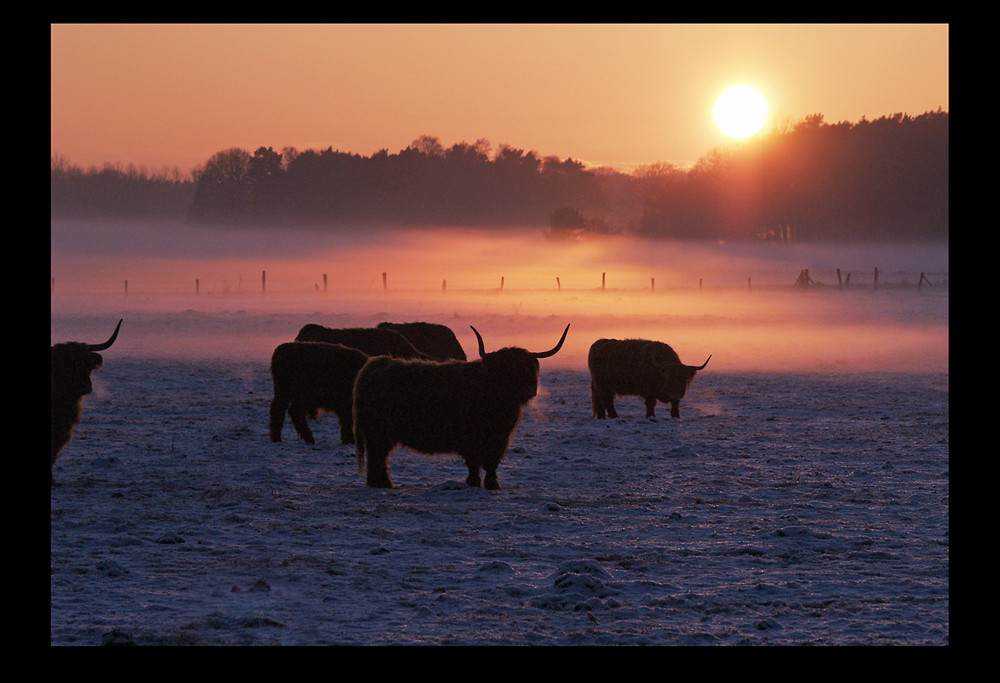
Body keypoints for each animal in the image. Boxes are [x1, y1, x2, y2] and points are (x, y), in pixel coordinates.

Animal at [352, 324, 572, 488]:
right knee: (378, 455)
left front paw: (493, 485)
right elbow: (473, 461)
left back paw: (379, 483)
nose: (529, 390)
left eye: (527, 368)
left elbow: (492, 462)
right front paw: (474, 482)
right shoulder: (470, 437)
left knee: (378, 457)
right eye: (507, 368)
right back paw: (383, 483)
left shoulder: (499, 439)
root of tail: (374, 365)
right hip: (378, 430)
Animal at [584, 340, 712, 420]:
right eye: (669, 376)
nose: (677, 393)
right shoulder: (649, 391)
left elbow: (675, 404)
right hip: (603, 385)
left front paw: (676, 416)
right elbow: (650, 404)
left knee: (600, 401)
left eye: (683, 378)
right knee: (607, 401)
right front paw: (650, 416)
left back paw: (602, 417)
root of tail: (599, 343)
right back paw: (614, 416)